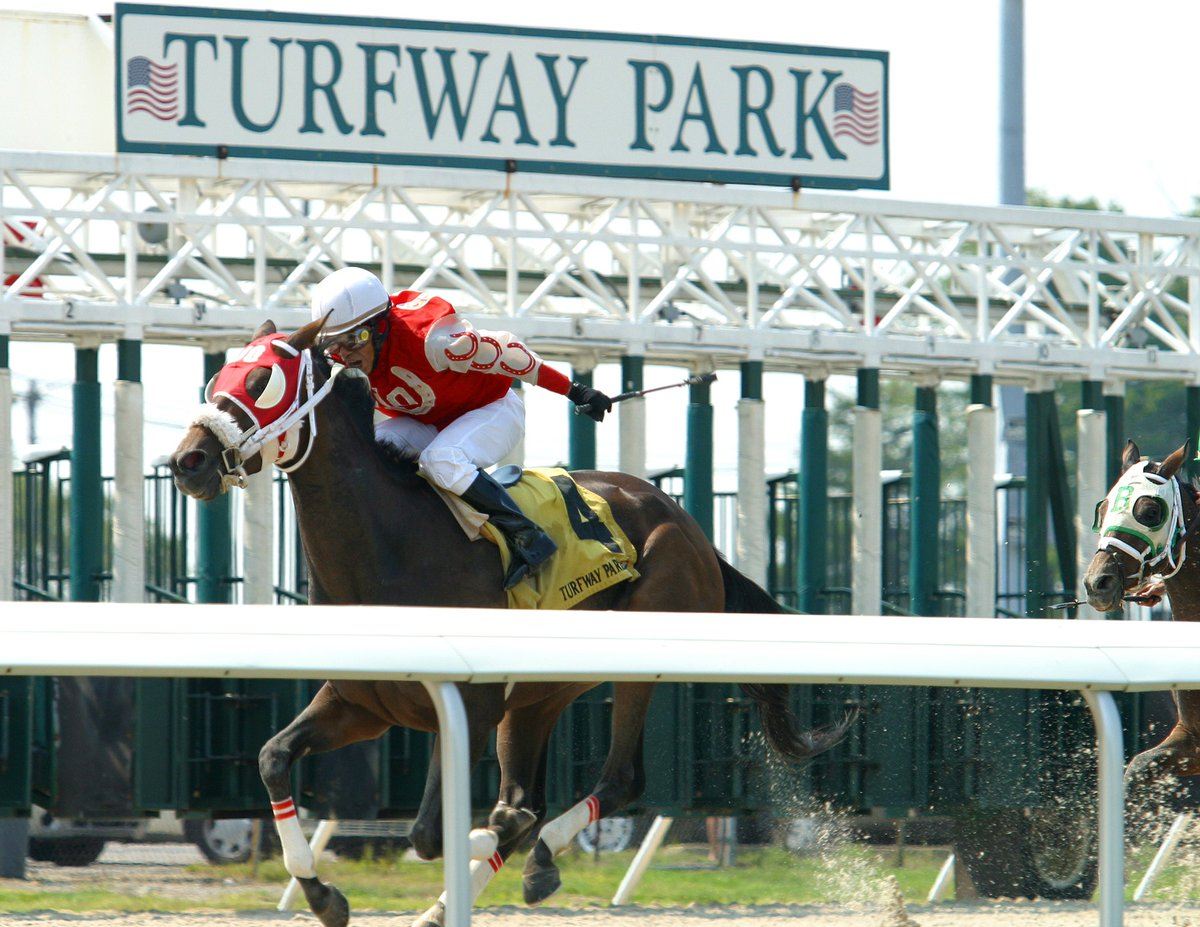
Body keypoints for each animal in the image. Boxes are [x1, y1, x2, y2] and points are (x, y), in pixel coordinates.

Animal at [174, 319, 859, 927]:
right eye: (216, 377)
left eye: (262, 378)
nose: (189, 461)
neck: (391, 548)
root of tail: (684, 522)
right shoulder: (361, 702)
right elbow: (273, 757)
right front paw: (323, 896)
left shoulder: (470, 703)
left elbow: (431, 833)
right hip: (538, 694)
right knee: (532, 796)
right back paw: (469, 893)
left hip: (636, 659)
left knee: (617, 781)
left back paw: (532, 856)